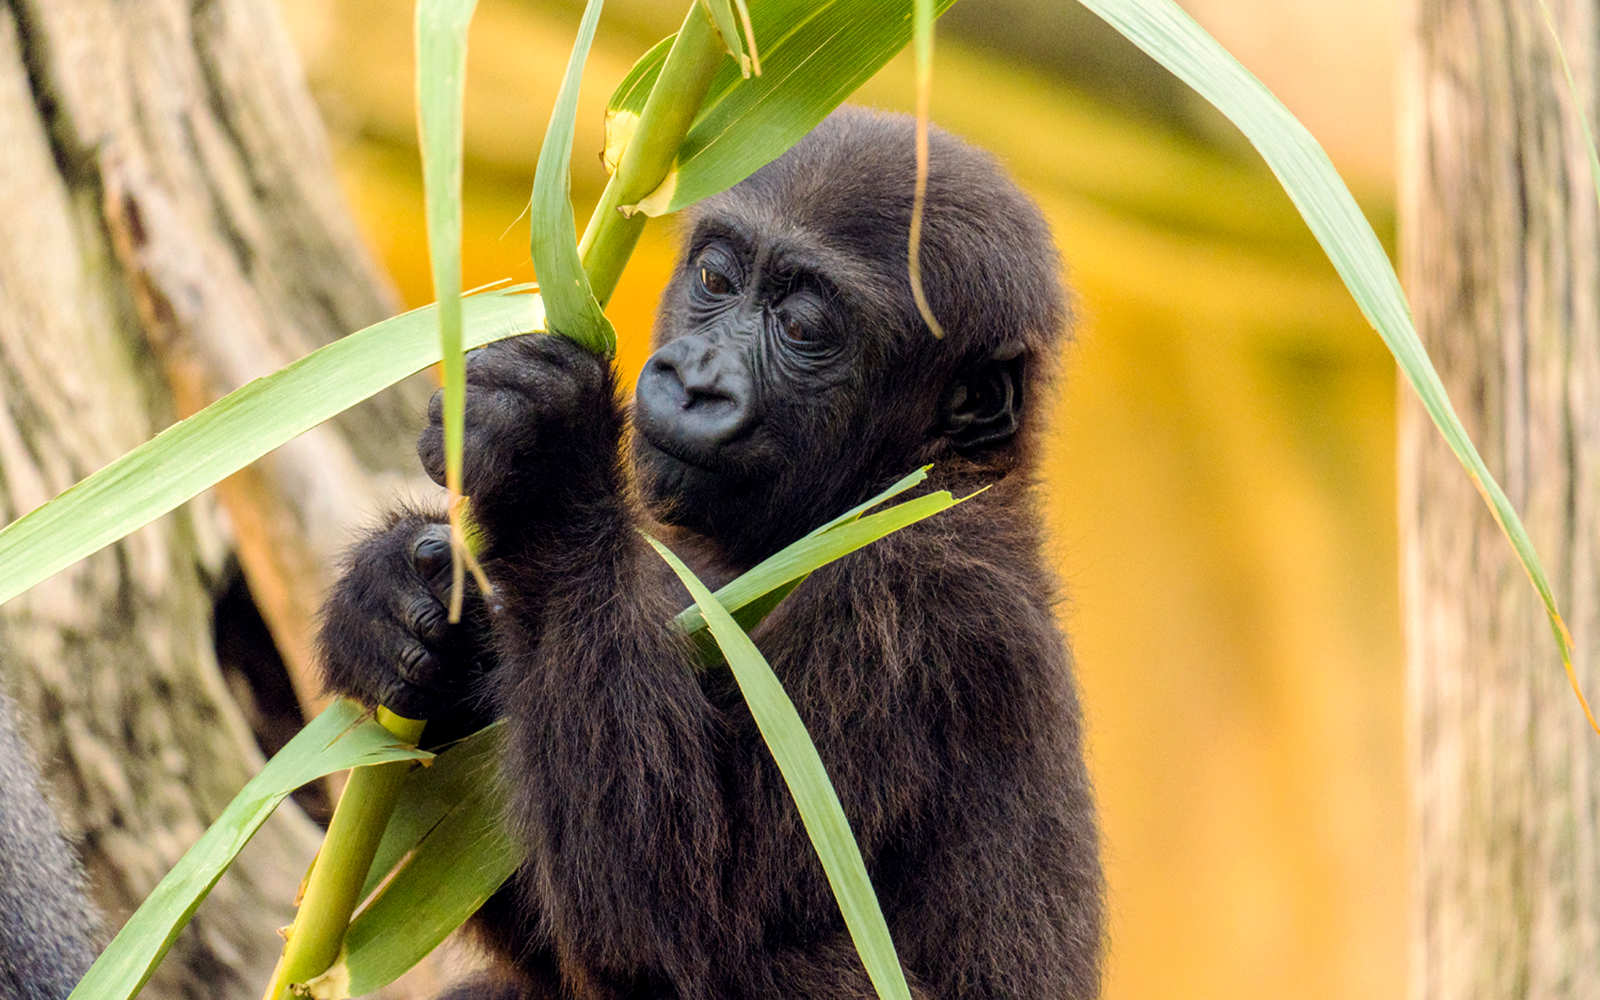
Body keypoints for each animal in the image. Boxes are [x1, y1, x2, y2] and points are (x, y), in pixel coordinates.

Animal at [318, 106, 1103, 1000]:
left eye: (802, 328)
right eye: (717, 280)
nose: (695, 381)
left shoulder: (919, 605)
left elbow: (675, 921)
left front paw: (547, 466)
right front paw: (388, 606)